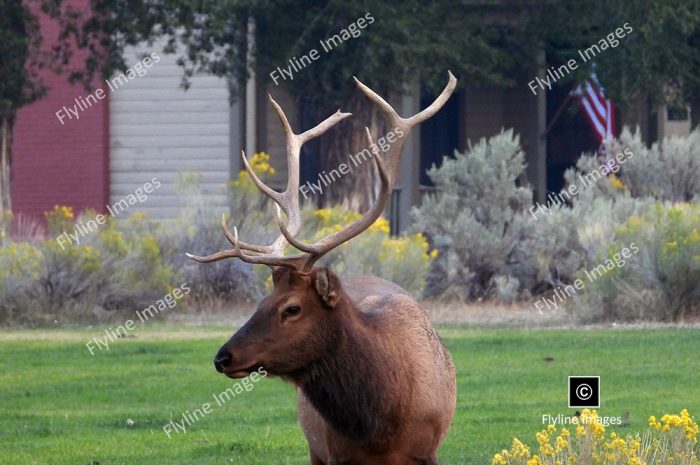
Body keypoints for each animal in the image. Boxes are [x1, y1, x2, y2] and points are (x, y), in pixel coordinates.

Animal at [187, 72, 460, 464]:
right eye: (261, 303)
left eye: (292, 308)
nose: (223, 357)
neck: (384, 424)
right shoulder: (334, 454)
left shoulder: (428, 451)